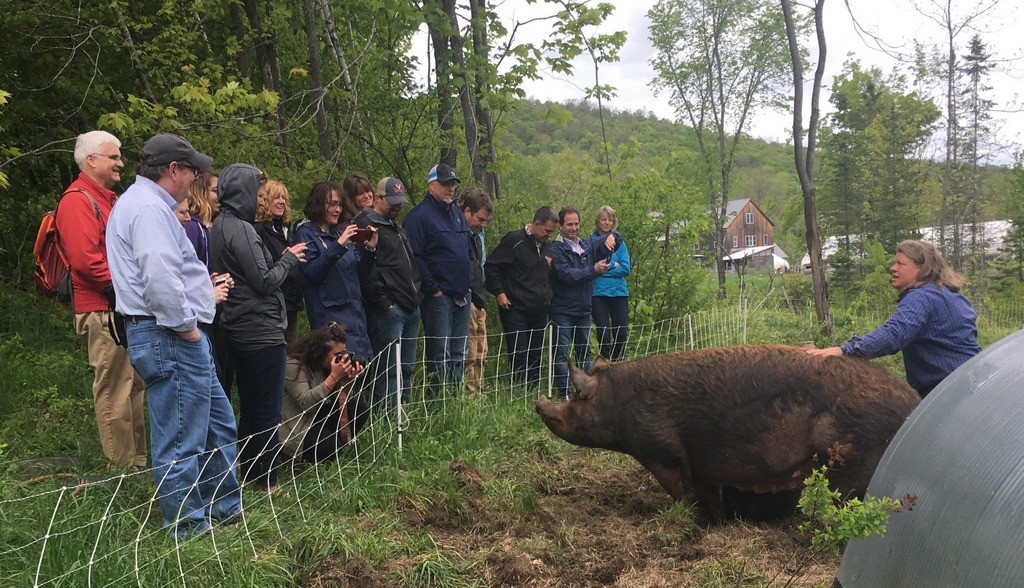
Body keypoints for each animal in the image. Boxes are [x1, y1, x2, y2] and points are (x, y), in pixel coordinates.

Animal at [536, 346, 921, 524]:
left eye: (579, 394)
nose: (540, 404)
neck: (619, 402)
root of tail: (913, 402)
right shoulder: (704, 465)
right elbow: (710, 497)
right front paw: (718, 524)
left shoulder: (660, 450)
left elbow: (683, 493)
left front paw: (693, 523)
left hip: (849, 462)